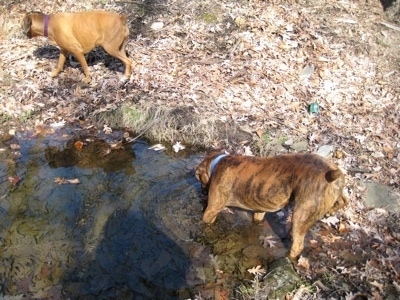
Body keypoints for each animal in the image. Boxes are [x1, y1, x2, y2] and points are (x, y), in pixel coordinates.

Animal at [195, 152, 348, 260]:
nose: (202, 191)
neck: (216, 163)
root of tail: (332, 172)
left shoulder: (211, 210)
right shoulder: (259, 210)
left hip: (301, 215)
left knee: (297, 246)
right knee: (344, 200)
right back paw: (331, 211)